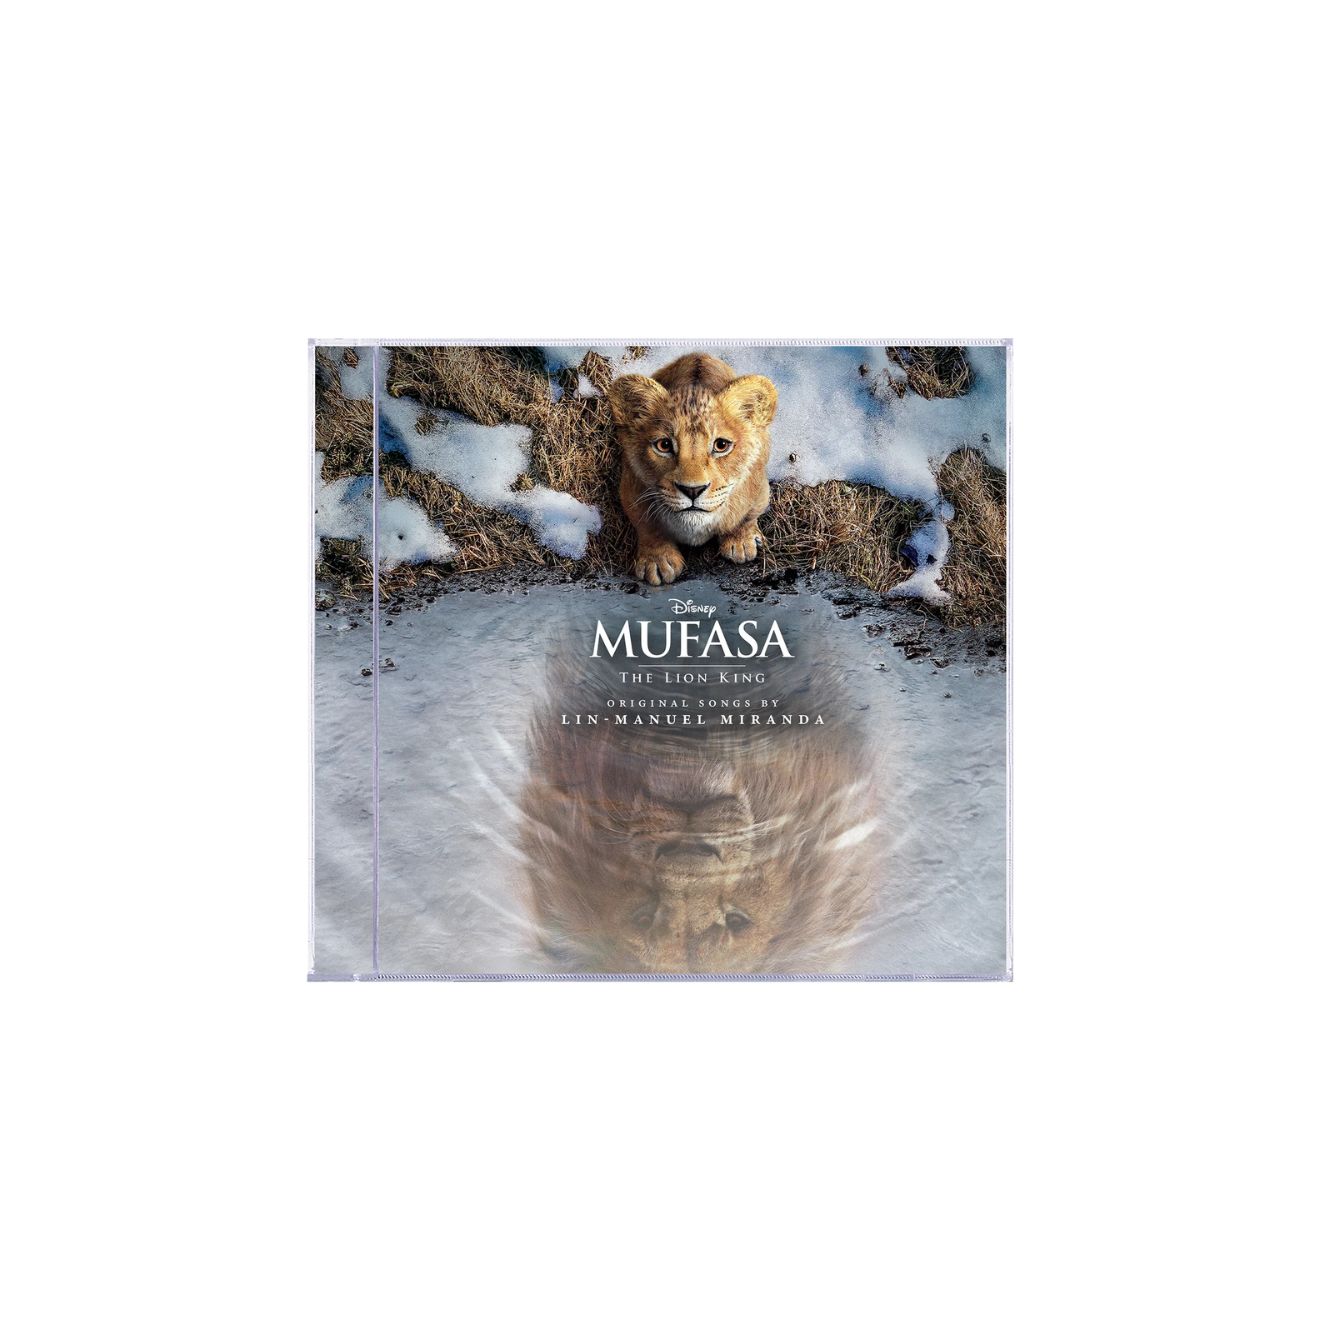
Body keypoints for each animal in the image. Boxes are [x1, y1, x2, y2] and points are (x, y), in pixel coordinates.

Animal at [607, 352, 777, 586]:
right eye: (664, 445)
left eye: (721, 445)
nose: (693, 490)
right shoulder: (631, 489)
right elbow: (647, 526)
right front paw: (657, 561)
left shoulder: (759, 489)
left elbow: (746, 516)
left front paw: (741, 542)